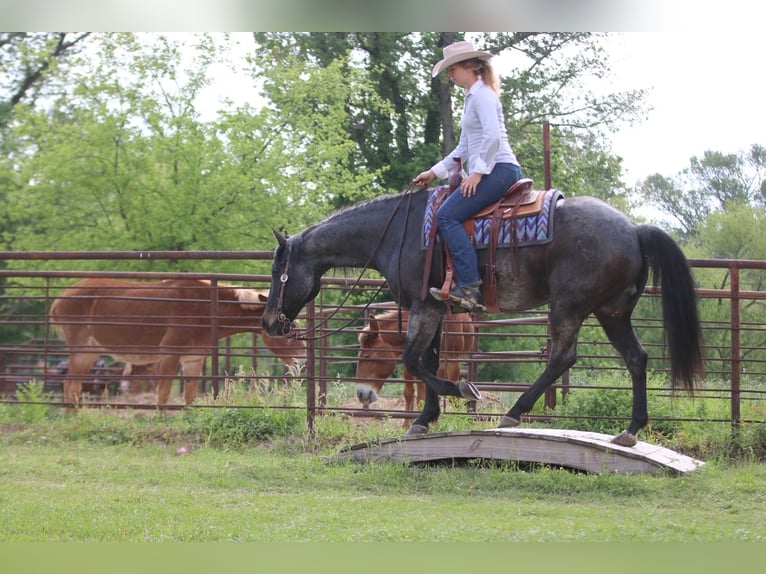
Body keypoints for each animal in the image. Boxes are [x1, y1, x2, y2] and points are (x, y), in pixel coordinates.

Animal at [49, 278, 307, 406]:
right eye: (287, 328)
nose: (302, 361)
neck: (207, 307)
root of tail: (60, 299)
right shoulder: (169, 354)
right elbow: (163, 394)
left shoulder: (193, 359)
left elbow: (190, 397)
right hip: (81, 352)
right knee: (70, 387)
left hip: (91, 353)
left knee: (74, 388)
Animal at [262, 187, 704, 446]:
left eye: (277, 270)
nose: (269, 322)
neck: (395, 233)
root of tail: (634, 228)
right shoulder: (437, 308)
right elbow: (428, 361)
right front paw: (425, 419)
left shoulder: (424, 305)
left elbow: (414, 360)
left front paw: (462, 392)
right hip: (612, 311)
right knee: (636, 358)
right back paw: (629, 431)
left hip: (569, 306)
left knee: (562, 357)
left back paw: (513, 414)